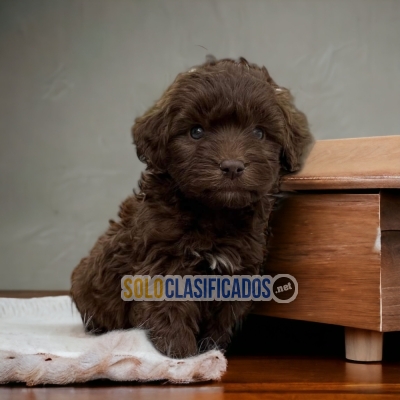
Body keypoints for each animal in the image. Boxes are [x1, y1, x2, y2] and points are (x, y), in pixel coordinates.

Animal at [70, 56, 314, 360]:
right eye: (196, 131)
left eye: (259, 132)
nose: (232, 166)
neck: (214, 213)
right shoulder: (165, 262)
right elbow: (170, 308)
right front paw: (181, 355)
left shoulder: (239, 270)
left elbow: (222, 319)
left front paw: (212, 349)